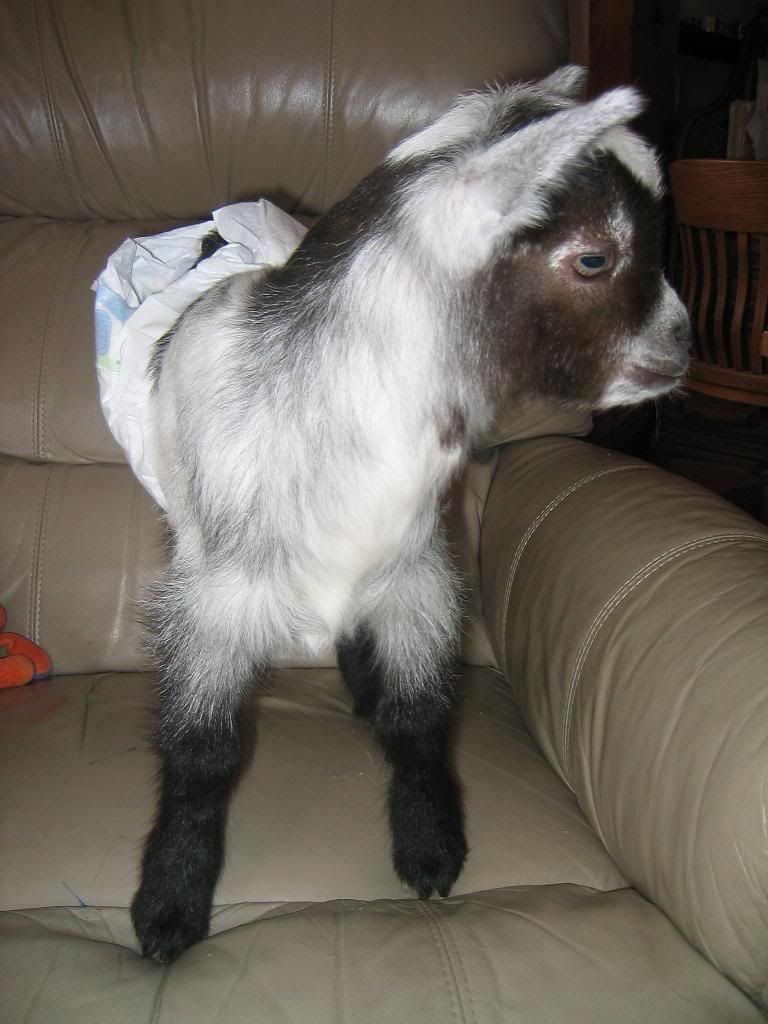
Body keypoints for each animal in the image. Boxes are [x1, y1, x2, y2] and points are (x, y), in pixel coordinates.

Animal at [131, 65, 691, 962]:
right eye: (594, 256)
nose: (681, 345)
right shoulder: (214, 602)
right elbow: (202, 755)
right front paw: (169, 905)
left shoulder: (414, 575)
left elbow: (419, 720)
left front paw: (430, 848)